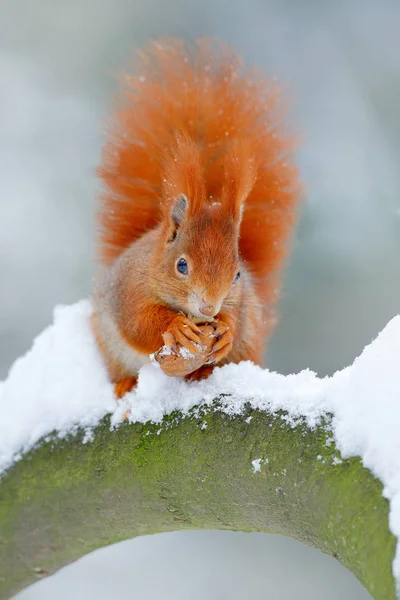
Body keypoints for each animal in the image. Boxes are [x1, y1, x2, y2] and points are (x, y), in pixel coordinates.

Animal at [92, 36, 300, 394]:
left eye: (237, 274)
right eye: (182, 265)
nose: (208, 308)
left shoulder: (240, 301)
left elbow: (235, 320)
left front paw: (225, 330)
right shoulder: (129, 290)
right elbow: (138, 323)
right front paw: (176, 327)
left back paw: (202, 372)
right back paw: (126, 384)